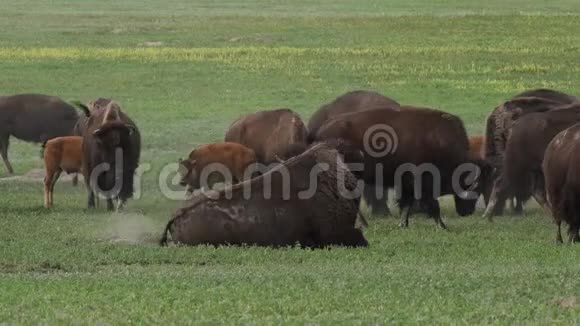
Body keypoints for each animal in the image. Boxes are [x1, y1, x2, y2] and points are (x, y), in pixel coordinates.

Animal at [312, 107, 490, 229]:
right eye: (474, 188)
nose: (467, 212)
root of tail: (322, 130)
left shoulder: (407, 184)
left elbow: (407, 204)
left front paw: (403, 224)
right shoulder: (420, 181)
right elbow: (432, 204)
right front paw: (442, 226)